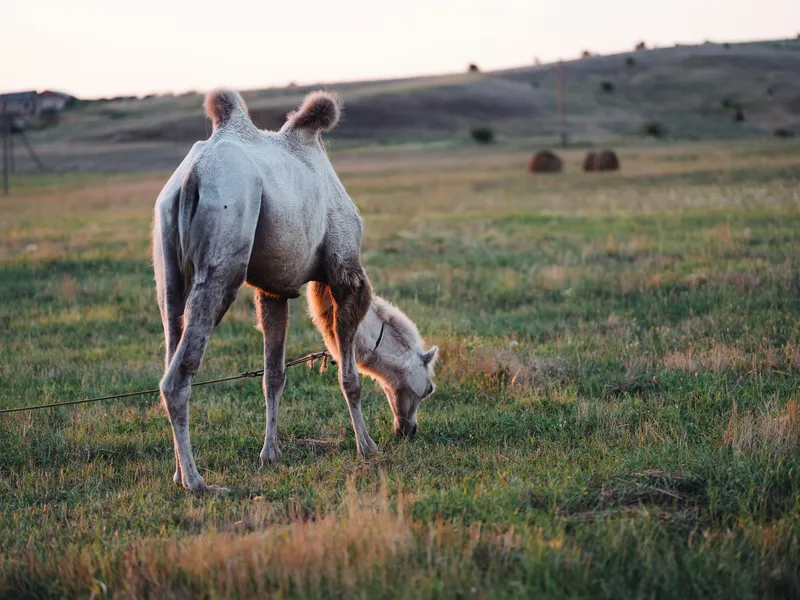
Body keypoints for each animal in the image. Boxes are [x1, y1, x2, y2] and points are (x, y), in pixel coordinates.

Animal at [152, 89, 438, 494]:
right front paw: (367, 446)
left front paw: (270, 454)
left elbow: (273, 376)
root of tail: (193, 175)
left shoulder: (274, 289)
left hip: (168, 265)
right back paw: (198, 483)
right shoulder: (344, 273)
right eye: (427, 390)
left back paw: (179, 473)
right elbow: (350, 376)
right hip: (225, 250)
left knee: (171, 334)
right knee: (178, 377)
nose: (408, 429)